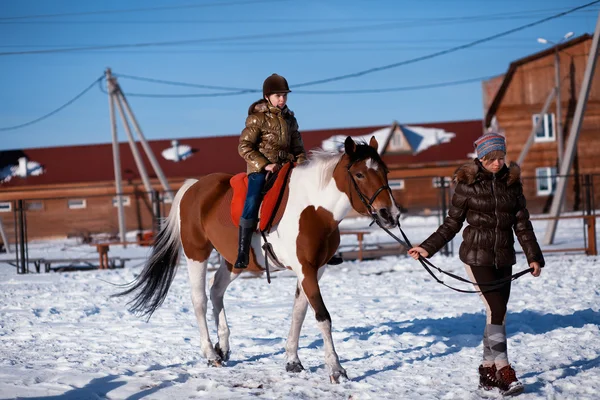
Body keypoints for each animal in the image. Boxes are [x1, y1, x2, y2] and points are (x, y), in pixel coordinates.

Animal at [115, 136, 400, 382]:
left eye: (386, 172)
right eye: (360, 174)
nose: (390, 215)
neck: (315, 209)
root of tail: (193, 187)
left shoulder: (313, 270)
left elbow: (299, 312)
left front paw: (292, 361)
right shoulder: (306, 269)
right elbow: (322, 316)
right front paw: (336, 369)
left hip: (234, 261)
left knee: (216, 291)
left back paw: (223, 347)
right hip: (197, 254)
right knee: (199, 300)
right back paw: (211, 354)